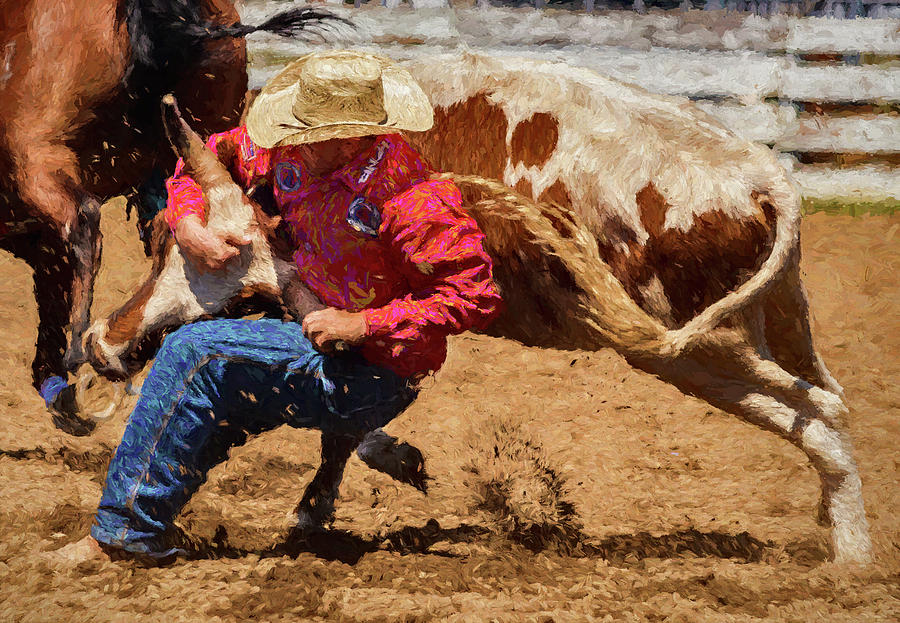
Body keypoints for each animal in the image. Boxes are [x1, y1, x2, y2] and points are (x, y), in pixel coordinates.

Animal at [0, 0, 344, 428]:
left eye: (242, 304)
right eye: (167, 243)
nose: (106, 349)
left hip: (35, 147)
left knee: (78, 227)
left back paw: (70, 377)